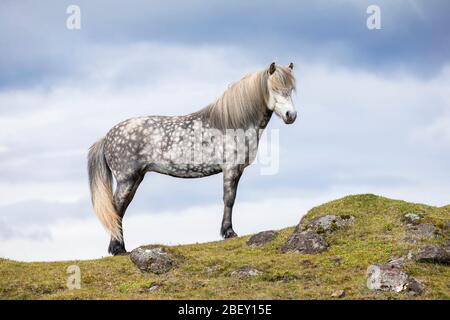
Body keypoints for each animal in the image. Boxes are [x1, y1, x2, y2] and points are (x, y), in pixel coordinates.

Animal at [89, 62, 298, 255]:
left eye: (291, 90)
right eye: (274, 89)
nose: (291, 115)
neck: (233, 123)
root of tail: (107, 137)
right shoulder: (231, 168)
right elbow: (229, 198)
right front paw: (228, 232)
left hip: (135, 178)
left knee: (120, 210)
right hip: (127, 179)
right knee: (116, 209)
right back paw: (118, 249)